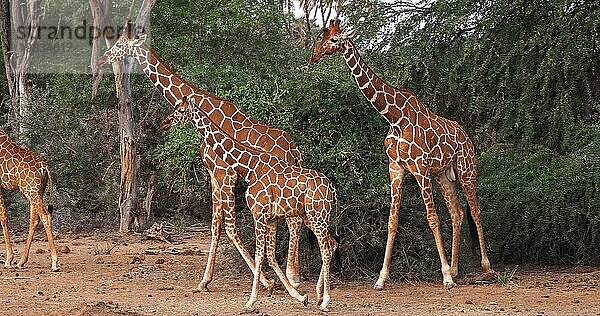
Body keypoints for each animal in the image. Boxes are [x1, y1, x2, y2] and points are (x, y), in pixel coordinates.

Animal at [0, 129, 59, 272]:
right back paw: (22, 261)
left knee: (44, 215)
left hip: (30, 190)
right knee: (35, 219)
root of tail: (43, 167)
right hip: (37, 191)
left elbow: (2, 216)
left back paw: (54, 263)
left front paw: (9, 259)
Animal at [99, 27, 304, 292]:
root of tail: (294, 151)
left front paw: (266, 281)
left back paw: (293, 277)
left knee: (294, 222)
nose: (103, 59)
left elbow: (228, 226)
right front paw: (205, 280)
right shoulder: (214, 175)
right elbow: (215, 224)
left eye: (120, 45)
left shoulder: (224, 172)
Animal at [310, 19, 492, 290]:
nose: (314, 55)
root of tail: (467, 137)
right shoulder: (396, 168)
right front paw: (381, 278)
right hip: (443, 175)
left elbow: (432, 218)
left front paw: (445, 277)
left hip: (466, 169)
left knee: (476, 211)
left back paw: (485, 268)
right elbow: (392, 221)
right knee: (457, 212)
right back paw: (456, 268)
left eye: (333, 40)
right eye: (320, 37)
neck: (394, 118)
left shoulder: (419, 168)